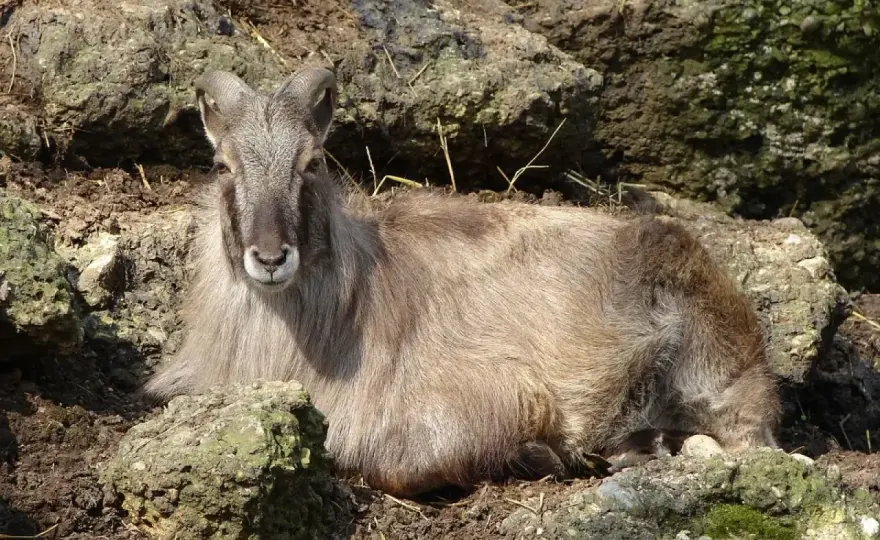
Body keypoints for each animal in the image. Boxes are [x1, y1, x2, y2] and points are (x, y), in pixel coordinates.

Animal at [144, 66, 782, 498]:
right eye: (222, 165)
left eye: (312, 162)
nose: (272, 257)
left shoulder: (490, 396)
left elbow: (399, 465)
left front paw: (539, 453)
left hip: (712, 375)